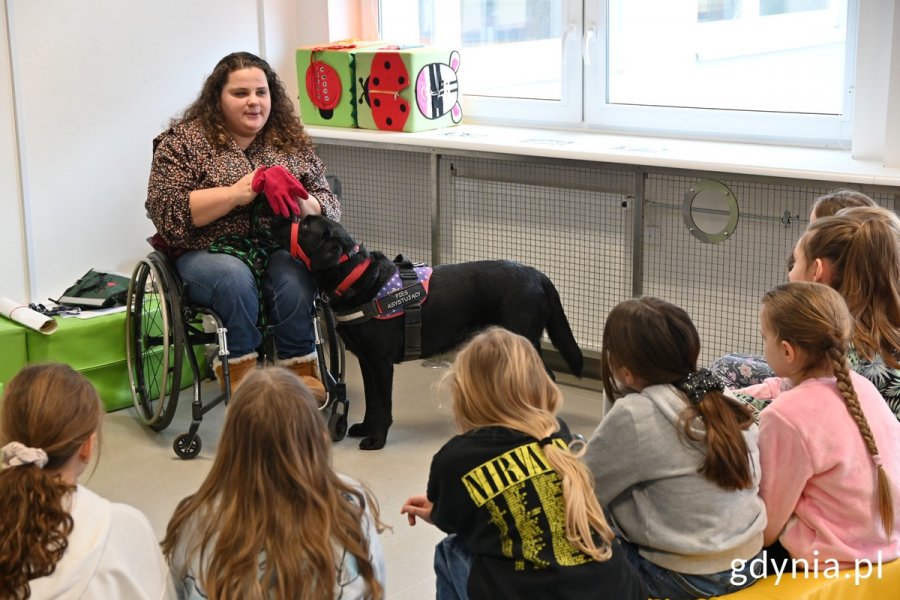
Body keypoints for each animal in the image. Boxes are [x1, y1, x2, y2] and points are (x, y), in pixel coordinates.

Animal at [270, 216, 588, 450]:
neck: (357, 278)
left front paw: (378, 439)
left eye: (305, 224)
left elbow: (383, 404)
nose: (272, 216)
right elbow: (372, 402)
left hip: (524, 337)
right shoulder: (366, 361)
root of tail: (537, 273)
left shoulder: (381, 363)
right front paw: (364, 428)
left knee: (548, 376)